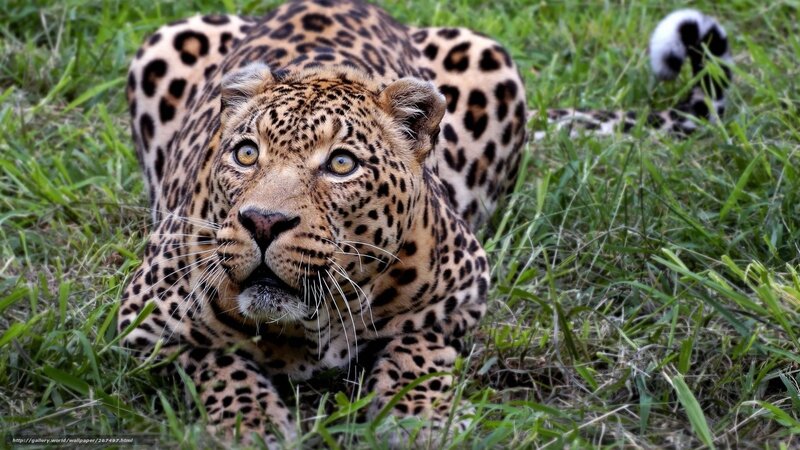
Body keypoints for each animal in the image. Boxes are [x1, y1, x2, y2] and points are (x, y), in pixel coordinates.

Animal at [119, 1, 732, 446]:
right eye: (246, 154)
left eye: (341, 164)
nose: (263, 222)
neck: (313, 325)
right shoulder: (142, 321)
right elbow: (216, 360)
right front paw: (252, 424)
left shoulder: (464, 292)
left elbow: (419, 346)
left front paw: (419, 420)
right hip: (169, 38)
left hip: (489, 56)